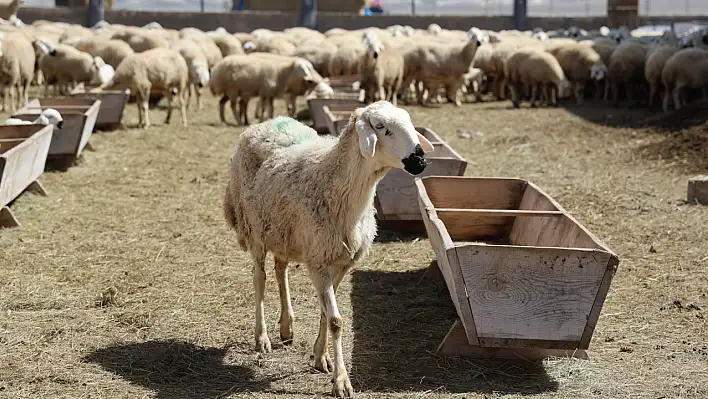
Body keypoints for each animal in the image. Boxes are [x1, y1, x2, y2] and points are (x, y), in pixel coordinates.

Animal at [221, 101, 434, 398]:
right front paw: (341, 381)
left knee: (280, 270)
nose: (420, 160)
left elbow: (325, 312)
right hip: (255, 232)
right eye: (381, 127)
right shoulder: (319, 262)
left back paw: (286, 327)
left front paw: (321, 357)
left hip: (282, 232)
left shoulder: (341, 261)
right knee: (259, 278)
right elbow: (335, 320)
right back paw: (261, 337)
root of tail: (268, 122)